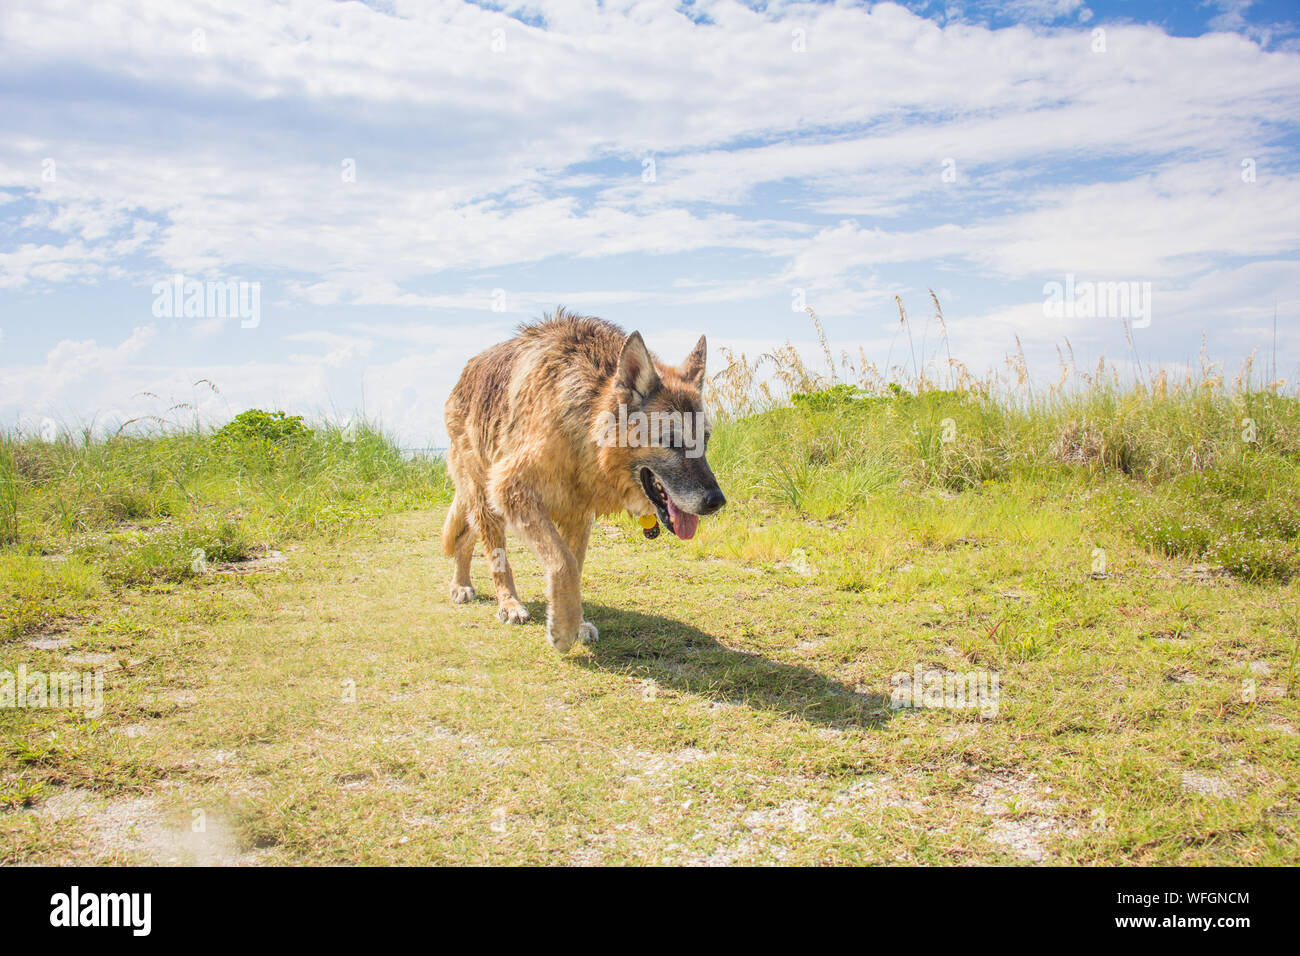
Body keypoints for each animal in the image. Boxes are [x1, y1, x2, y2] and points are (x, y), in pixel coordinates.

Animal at [441, 310, 728, 655]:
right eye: (671, 441)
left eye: (706, 440)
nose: (717, 501)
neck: (583, 427)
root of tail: (464, 373)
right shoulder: (511, 489)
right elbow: (562, 563)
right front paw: (563, 630)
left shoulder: (577, 513)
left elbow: (573, 567)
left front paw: (575, 623)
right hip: (488, 499)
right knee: (495, 555)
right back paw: (505, 602)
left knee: (466, 537)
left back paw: (462, 584)